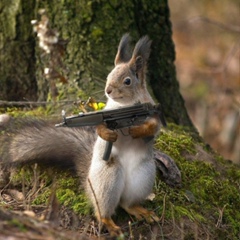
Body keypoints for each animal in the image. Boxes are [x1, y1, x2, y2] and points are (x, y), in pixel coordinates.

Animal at [0, 34, 180, 236]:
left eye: (127, 81)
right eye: (109, 75)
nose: (108, 90)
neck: (125, 105)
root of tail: (89, 180)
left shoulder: (152, 114)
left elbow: (153, 128)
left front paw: (136, 130)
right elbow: (101, 129)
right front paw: (110, 133)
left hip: (142, 177)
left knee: (126, 203)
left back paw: (140, 211)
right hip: (107, 179)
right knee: (103, 209)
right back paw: (110, 224)